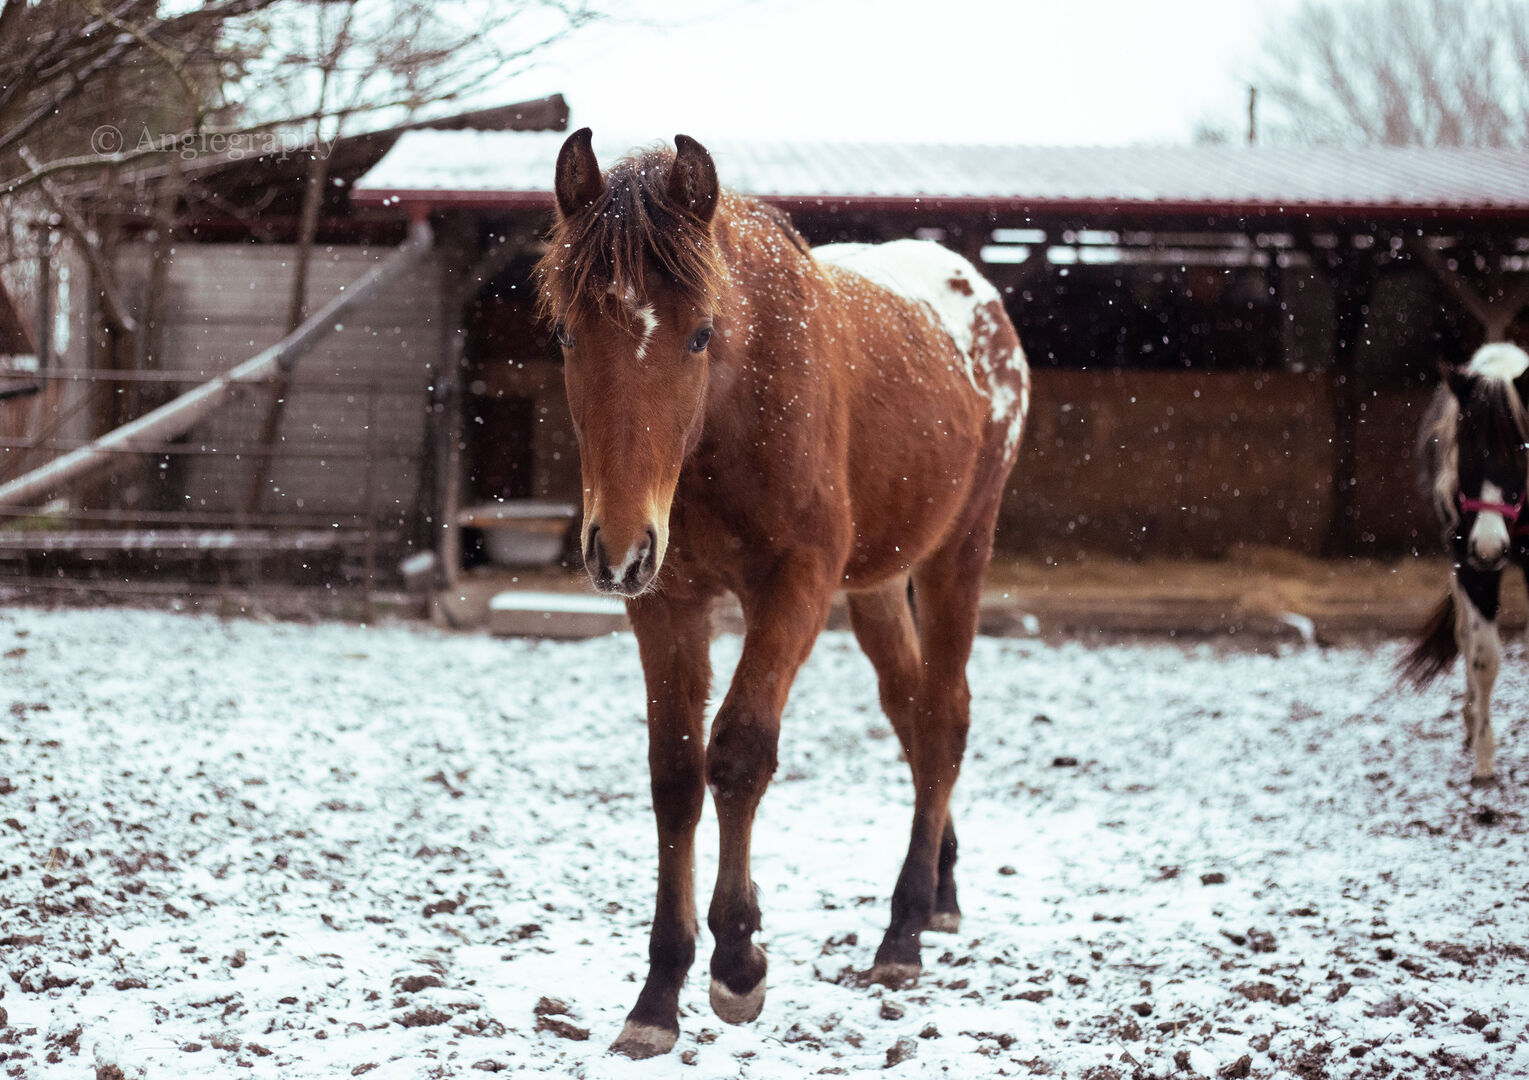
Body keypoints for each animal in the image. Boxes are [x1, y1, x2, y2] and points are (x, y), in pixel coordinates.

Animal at [534, 129, 1030, 1058]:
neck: (732, 401)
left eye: (699, 335)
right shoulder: (665, 600)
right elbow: (674, 775)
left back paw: (902, 929)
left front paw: (737, 963)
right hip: (877, 584)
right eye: (570, 335)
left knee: (944, 717)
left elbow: (737, 753)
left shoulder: (795, 584)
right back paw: (940, 890)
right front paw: (657, 996)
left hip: (958, 551)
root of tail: (980, 302)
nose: (613, 548)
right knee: (913, 715)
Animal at [1401, 342, 1529, 787]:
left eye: (1522, 454)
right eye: (1467, 453)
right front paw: (1485, 760)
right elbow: (1483, 658)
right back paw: (1472, 723)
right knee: (1465, 638)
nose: (1489, 546)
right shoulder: (1472, 570)